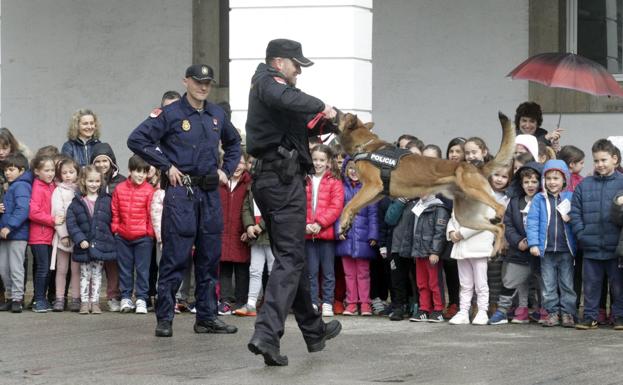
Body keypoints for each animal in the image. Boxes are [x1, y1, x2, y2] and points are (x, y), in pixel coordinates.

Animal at [336, 112, 516, 255]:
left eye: (343, 115)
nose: (335, 110)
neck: (365, 145)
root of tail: (477, 167)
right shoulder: (376, 193)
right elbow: (354, 207)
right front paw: (347, 223)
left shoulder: (372, 186)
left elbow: (348, 205)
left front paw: (343, 222)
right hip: (465, 217)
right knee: (499, 228)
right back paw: (495, 251)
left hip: (472, 190)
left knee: (500, 209)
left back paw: (499, 219)